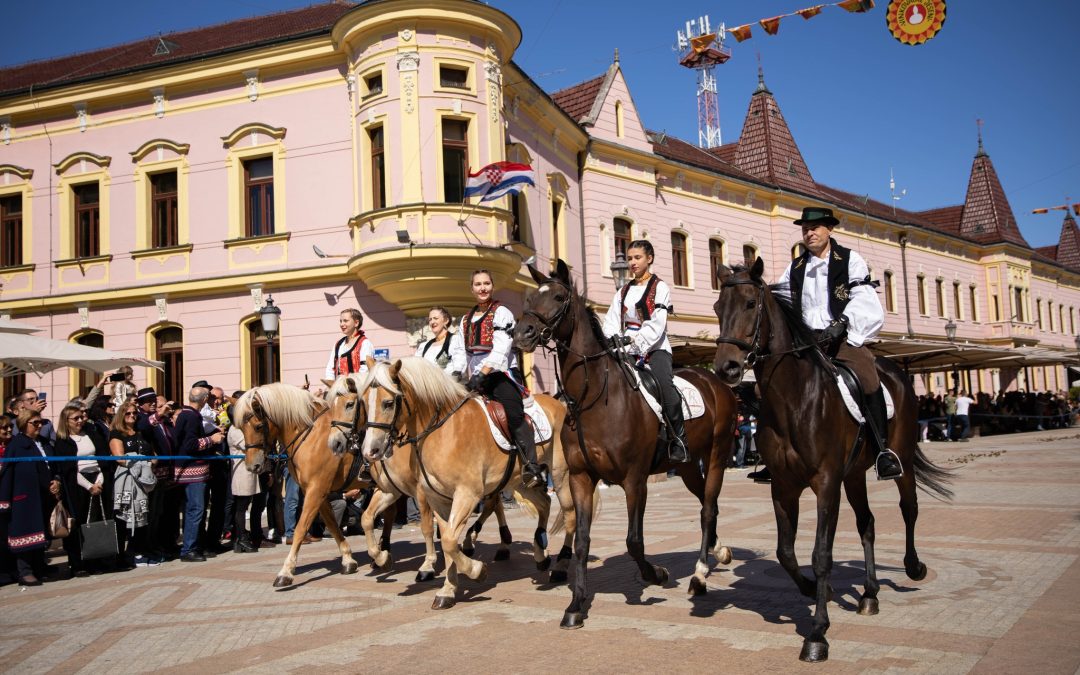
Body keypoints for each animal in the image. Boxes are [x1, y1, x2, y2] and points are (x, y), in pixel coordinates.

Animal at [358, 356, 574, 609]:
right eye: (363, 402)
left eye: (388, 403)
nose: (370, 451)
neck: (441, 431)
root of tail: (559, 405)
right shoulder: (435, 498)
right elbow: (446, 540)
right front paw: (447, 590)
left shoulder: (466, 495)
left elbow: (449, 541)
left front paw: (476, 570)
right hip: (519, 482)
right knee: (544, 504)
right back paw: (540, 552)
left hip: (560, 475)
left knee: (569, 514)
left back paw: (560, 567)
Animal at [509, 260, 738, 630]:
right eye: (530, 297)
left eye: (558, 297)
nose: (522, 334)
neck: (594, 398)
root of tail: (716, 382)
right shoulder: (581, 477)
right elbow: (582, 541)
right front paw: (575, 605)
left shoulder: (635, 480)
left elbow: (633, 541)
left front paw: (656, 574)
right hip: (688, 466)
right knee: (707, 501)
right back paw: (718, 552)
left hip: (717, 455)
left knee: (708, 508)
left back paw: (700, 573)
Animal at [717, 259, 954, 665]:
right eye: (718, 308)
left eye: (750, 303)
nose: (727, 368)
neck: (794, 400)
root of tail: (896, 371)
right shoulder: (784, 487)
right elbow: (786, 552)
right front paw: (817, 591)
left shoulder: (826, 483)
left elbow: (821, 554)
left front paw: (817, 632)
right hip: (855, 475)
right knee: (867, 523)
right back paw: (870, 594)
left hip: (900, 459)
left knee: (909, 507)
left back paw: (913, 567)